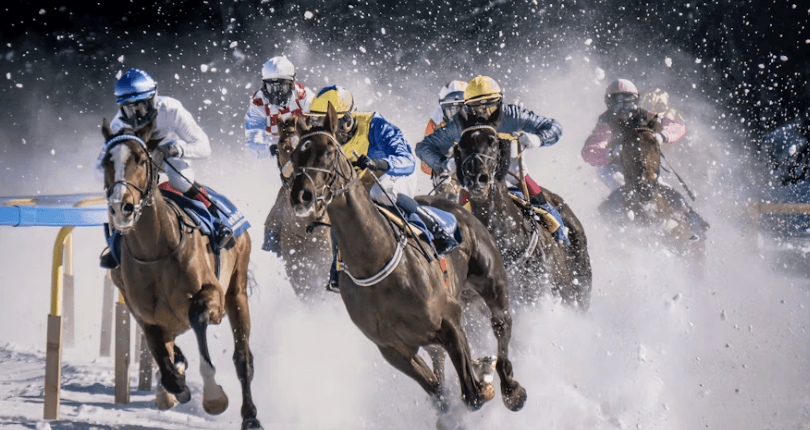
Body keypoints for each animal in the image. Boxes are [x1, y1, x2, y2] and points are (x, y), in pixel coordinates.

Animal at [99, 119, 262, 430]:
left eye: (140, 159)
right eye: (105, 162)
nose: (120, 207)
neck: (156, 251)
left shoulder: (212, 295)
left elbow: (198, 316)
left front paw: (213, 397)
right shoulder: (147, 318)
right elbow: (166, 366)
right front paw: (176, 385)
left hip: (237, 289)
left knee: (243, 358)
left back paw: (250, 416)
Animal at [287, 103, 526, 427]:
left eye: (328, 151)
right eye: (294, 155)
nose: (301, 196)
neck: (376, 263)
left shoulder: (449, 321)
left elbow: (472, 393)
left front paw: (484, 379)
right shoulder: (393, 349)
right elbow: (439, 392)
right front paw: (451, 407)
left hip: (491, 281)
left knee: (502, 324)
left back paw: (510, 388)